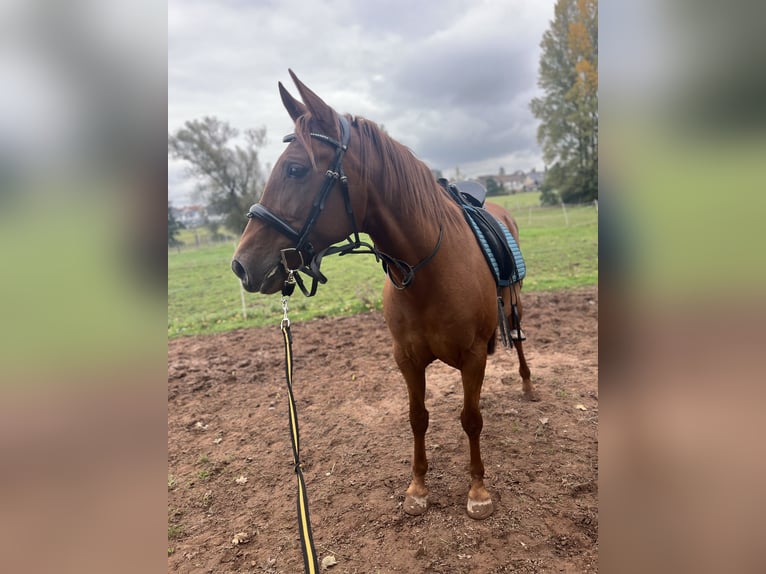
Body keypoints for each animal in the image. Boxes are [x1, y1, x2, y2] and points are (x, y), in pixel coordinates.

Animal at [232, 70, 536, 520]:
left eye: (295, 170)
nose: (241, 265)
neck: (428, 270)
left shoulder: (473, 357)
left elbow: (471, 418)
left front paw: (478, 491)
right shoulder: (406, 360)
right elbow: (417, 417)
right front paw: (418, 488)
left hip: (514, 302)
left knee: (517, 339)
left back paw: (529, 385)